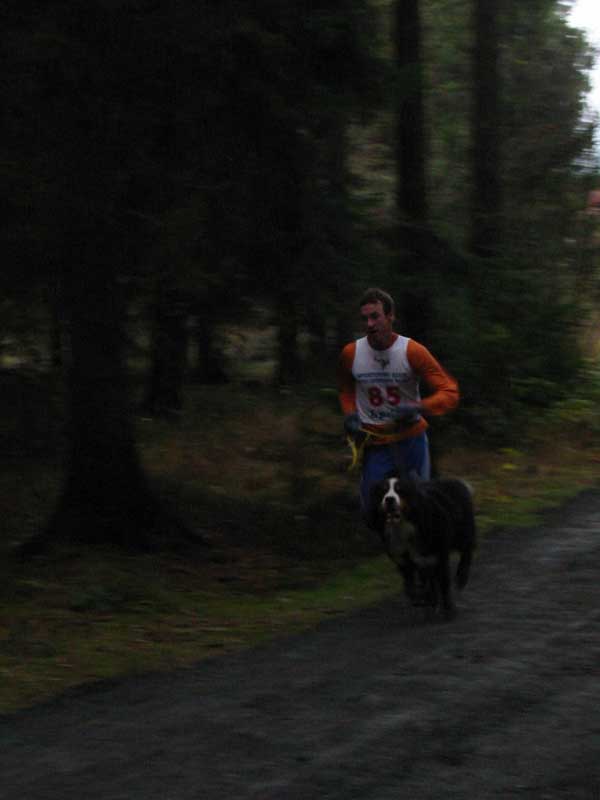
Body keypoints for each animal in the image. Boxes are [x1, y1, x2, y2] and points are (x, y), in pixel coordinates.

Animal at [370, 475, 476, 619]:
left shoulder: (438, 555)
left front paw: (448, 609)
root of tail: (456, 481)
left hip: (462, 533)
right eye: (383, 491)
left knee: (467, 550)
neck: (403, 527)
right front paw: (423, 599)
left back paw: (461, 577)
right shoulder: (404, 561)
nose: (389, 499)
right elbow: (410, 586)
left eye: (400, 490)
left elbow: (444, 583)